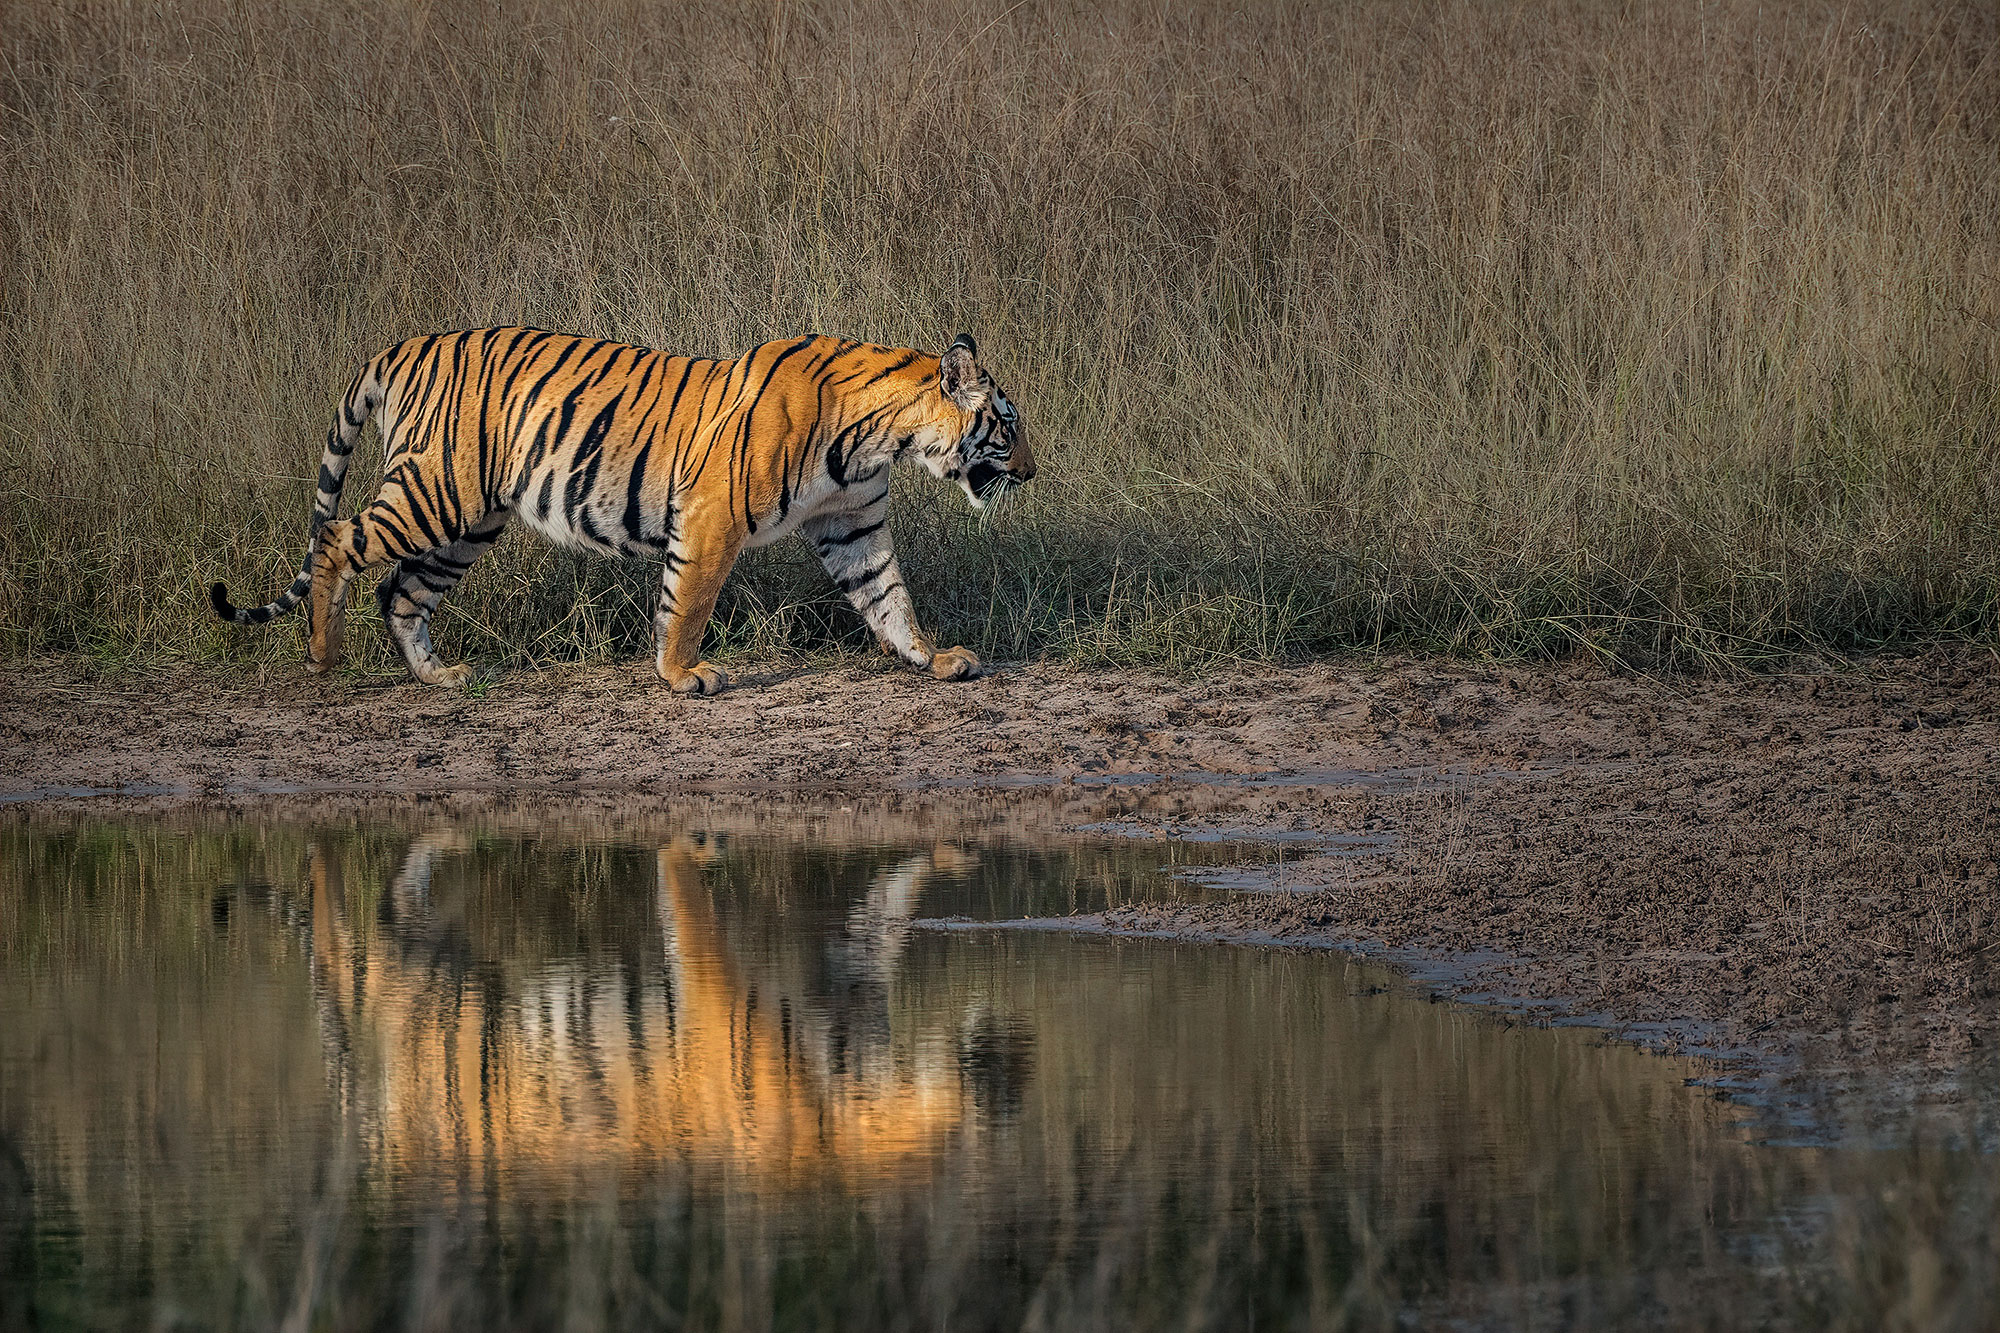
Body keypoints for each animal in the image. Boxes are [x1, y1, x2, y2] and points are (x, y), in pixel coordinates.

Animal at [209, 328, 1033, 694]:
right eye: (1008, 424)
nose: (1032, 471)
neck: (881, 434)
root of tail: (406, 344)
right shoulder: (711, 515)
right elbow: (688, 601)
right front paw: (681, 674)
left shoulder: (853, 524)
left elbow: (890, 597)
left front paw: (934, 658)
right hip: (435, 491)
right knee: (337, 540)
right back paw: (324, 656)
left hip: (470, 521)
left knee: (401, 590)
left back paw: (441, 678)